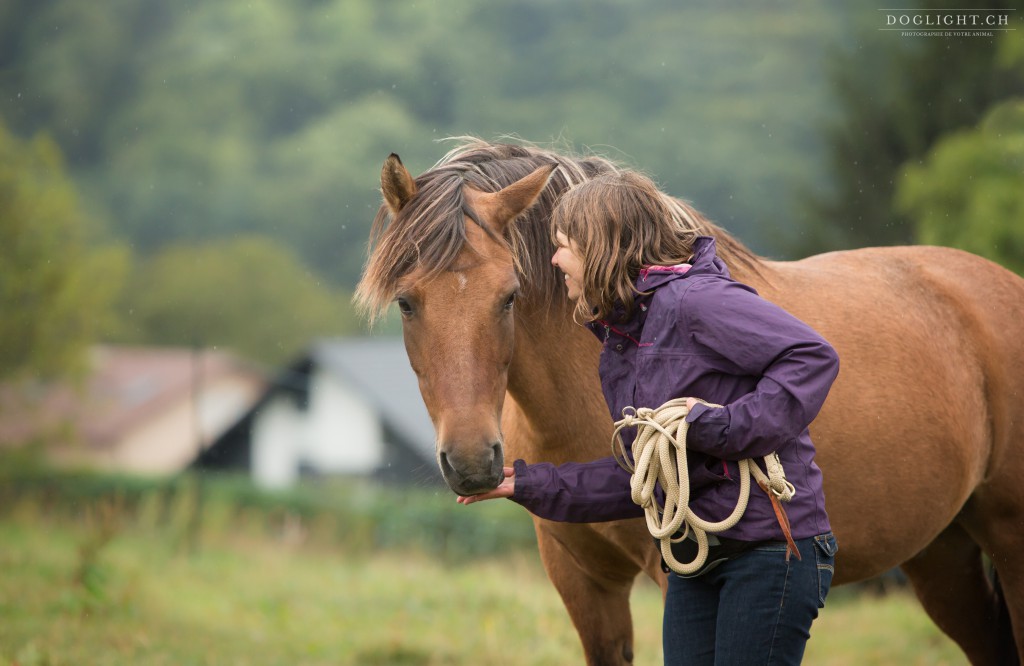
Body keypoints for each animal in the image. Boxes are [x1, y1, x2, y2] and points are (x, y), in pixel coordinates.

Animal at [358, 137, 1024, 659]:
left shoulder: (670, 573)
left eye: (510, 296)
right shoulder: (584, 585)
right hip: (943, 555)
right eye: (407, 302)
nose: (473, 463)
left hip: (1006, 538)